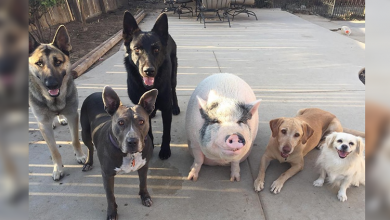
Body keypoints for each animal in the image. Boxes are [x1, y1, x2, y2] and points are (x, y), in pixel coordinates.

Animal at [29, 25, 87, 180]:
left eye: (58, 62)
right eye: (39, 63)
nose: (52, 84)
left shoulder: (73, 115)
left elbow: (75, 139)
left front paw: (80, 155)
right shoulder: (44, 126)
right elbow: (54, 150)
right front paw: (58, 168)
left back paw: (60, 118)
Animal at [80, 86, 158, 220]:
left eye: (141, 122)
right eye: (121, 122)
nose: (132, 141)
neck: (129, 154)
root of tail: (95, 93)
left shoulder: (144, 166)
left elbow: (143, 183)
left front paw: (145, 196)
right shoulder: (107, 175)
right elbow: (110, 196)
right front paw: (112, 212)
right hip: (85, 133)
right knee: (90, 147)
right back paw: (88, 163)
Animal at [122, 12, 181, 159]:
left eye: (156, 49)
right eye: (137, 49)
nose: (149, 71)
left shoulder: (166, 108)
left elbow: (166, 133)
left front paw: (165, 150)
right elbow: (147, 131)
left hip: (173, 76)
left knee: (173, 89)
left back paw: (176, 107)